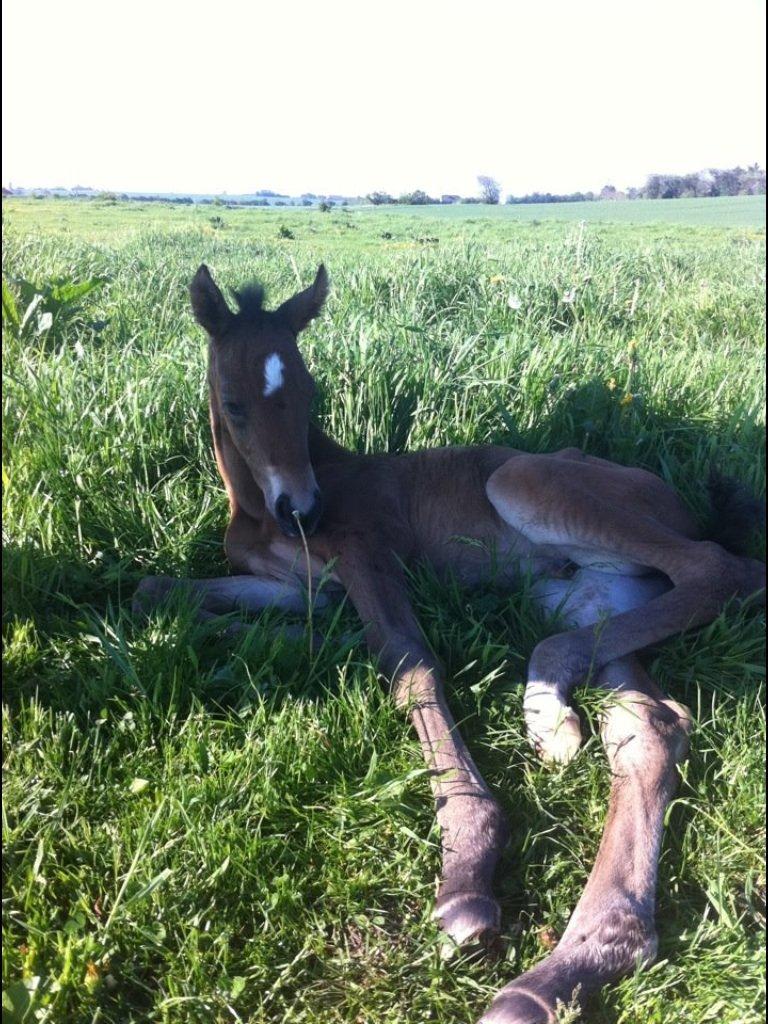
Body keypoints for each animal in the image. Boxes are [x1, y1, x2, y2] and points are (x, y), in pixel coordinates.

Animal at [135, 266, 765, 1024]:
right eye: (233, 403)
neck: (261, 512)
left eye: (311, 393)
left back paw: (546, 704)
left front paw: (465, 869)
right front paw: (294, 642)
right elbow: (163, 592)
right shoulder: (291, 585)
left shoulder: (367, 555)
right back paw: (572, 963)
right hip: (591, 593)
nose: (303, 510)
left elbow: (410, 665)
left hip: (527, 485)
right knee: (650, 727)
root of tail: (675, 500)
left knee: (720, 570)